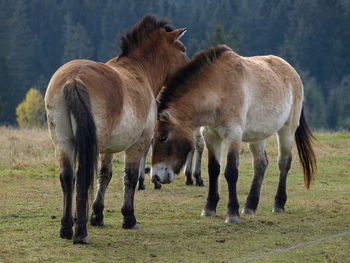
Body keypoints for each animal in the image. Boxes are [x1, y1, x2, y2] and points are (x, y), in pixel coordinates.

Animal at [45, 15, 191, 244]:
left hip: (63, 142)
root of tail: (73, 78)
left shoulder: (108, 149)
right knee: (82, 176)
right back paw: (80, 233)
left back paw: (67, 228)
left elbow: (104, 175)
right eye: (182, 49)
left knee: (68, 177)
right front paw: (129, 218)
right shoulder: (139, 143)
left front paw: (97, 215)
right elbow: (130, 177)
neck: (139, 71)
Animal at [150, 44, 318, 225]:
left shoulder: (234, 134)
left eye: (163, 137)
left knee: (284, 163)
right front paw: (209, 208)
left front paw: (232, 214)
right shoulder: (211, 135)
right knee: (260, 164)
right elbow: (213, 169)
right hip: (257, 136)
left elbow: (231, 171)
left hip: (287, 130)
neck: (218, 89)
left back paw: (278, 204)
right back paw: (250, 205)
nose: (156, 176)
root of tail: (292, 72)